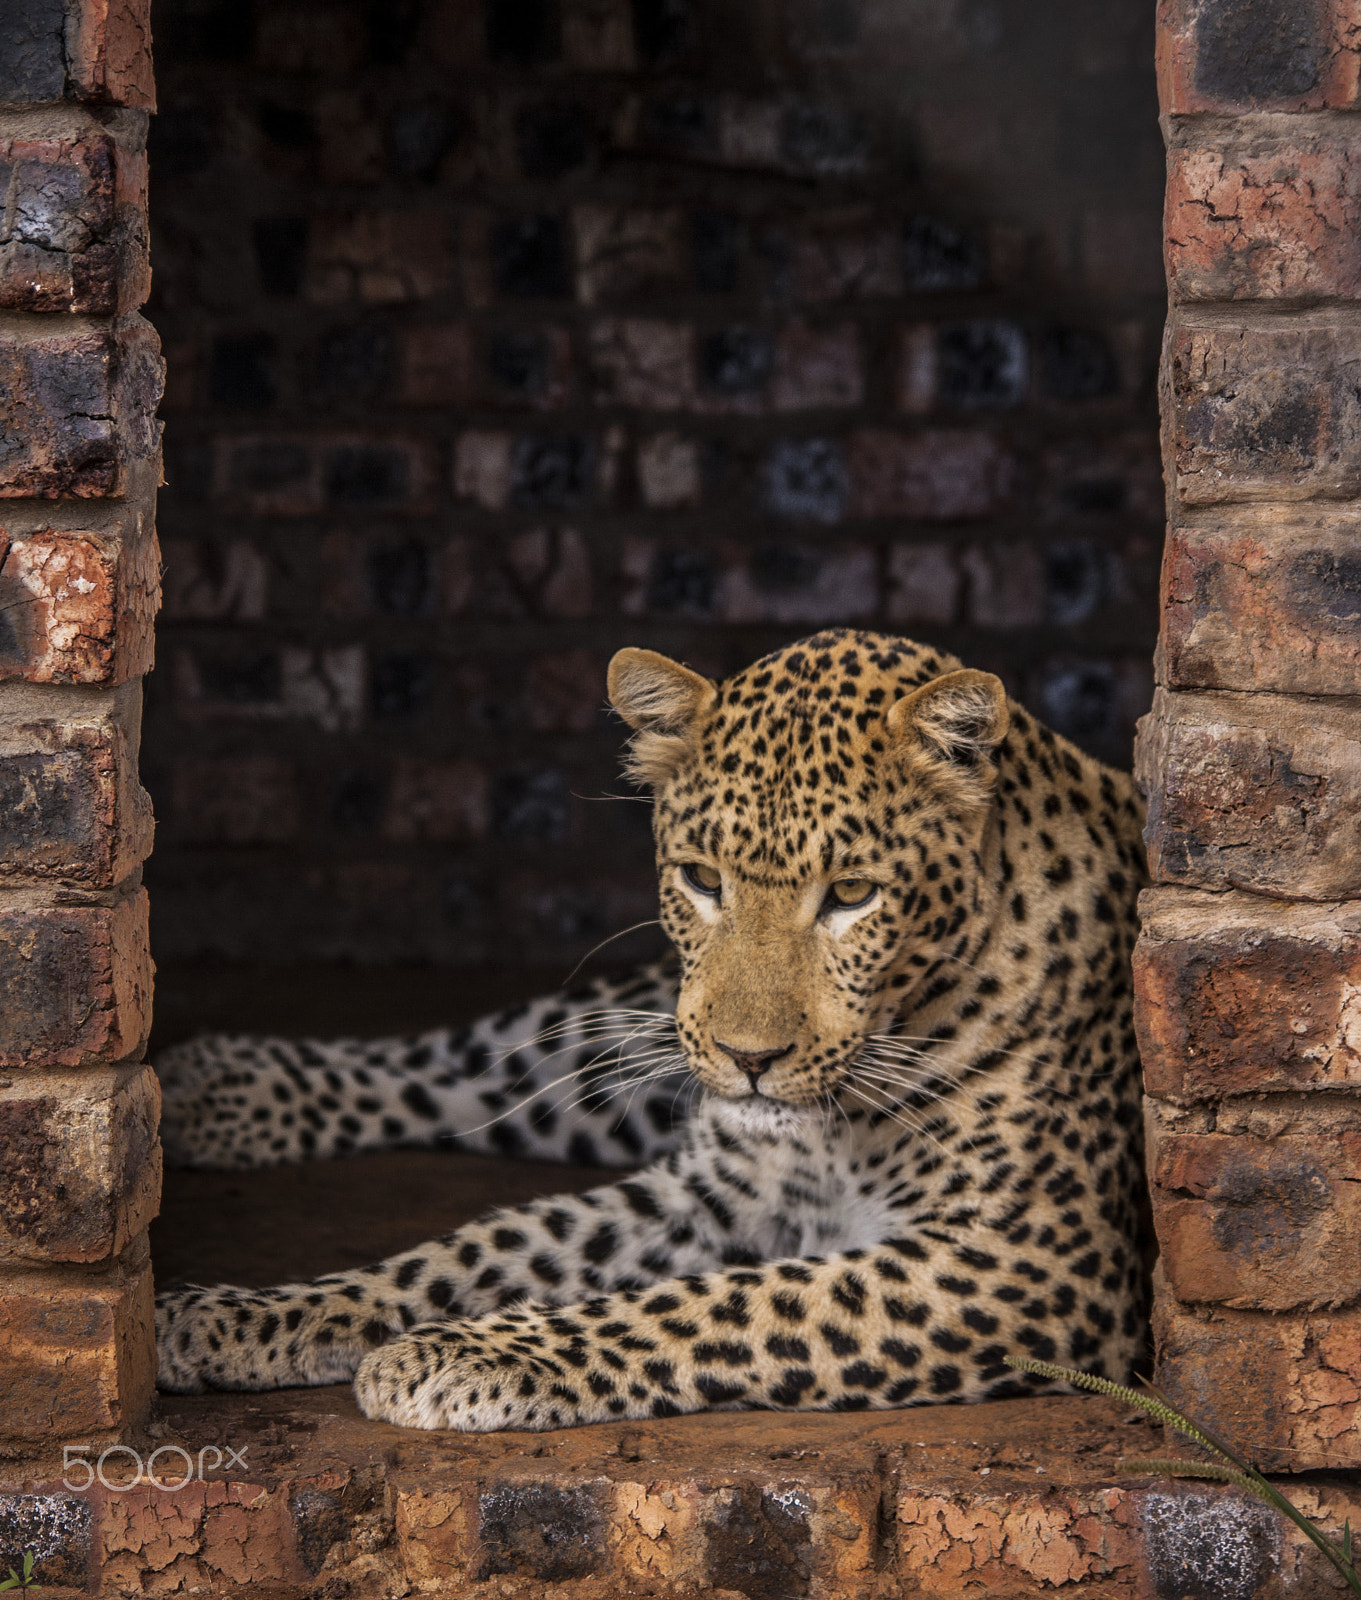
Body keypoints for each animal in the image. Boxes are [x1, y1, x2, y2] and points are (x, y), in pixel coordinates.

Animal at [155, 628, 1150, 1433]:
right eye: (703, 879)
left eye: (853, 894)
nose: (749, 1062)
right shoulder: (713, 1191)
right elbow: (477, 1247)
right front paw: (228, 1317)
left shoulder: (1033, 1260)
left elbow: (713, 1305)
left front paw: (460, 1354)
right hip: (624, 1043)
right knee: (468, 1068)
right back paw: (208, 1090)